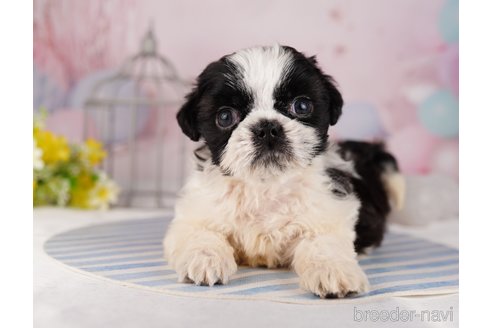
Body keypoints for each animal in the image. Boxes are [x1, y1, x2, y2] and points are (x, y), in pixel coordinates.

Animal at [163, 44, 406, 298]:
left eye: (301, 106)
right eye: (225, 116)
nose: (267, 128)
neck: (266, 185)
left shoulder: (327, 213)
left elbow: (323, 243)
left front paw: (333, 270)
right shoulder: (196, 215)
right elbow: (199, 233)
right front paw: (205, 259)